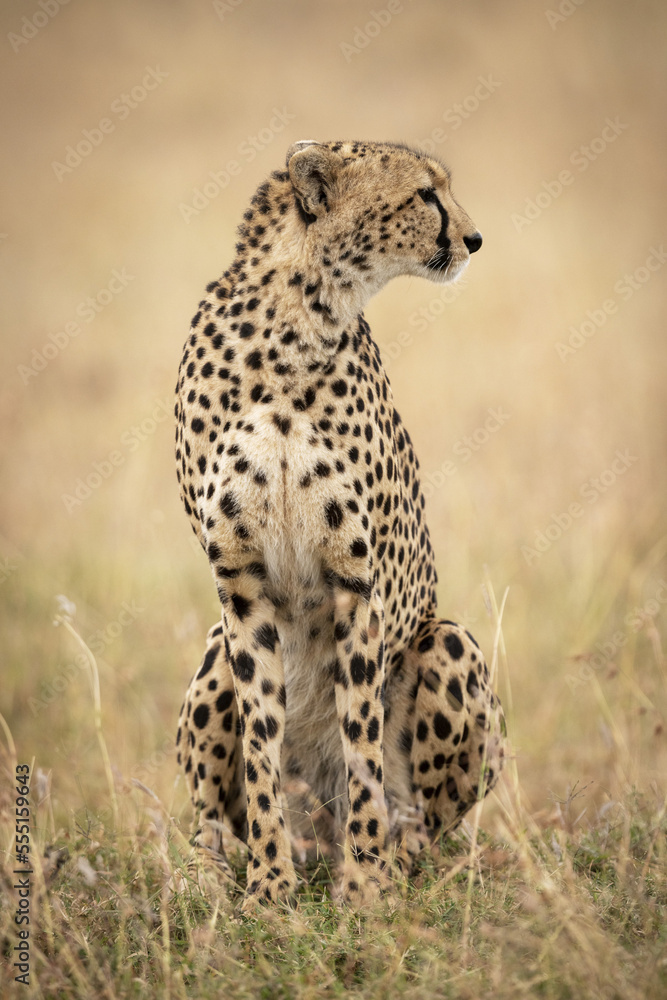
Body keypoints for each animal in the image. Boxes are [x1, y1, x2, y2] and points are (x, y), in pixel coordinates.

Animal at [174, 139, 506, 909]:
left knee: (426, 817)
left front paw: (364, 886)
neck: (294, 327)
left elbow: (360, 738)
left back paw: (406, 859)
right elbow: (262, 746)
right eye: (425, 194)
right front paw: (269, 889)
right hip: (212, 648)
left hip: (449, 641)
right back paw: (209, 874)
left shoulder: (357, 582)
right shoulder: (240, 586)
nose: (475, 238)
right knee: (212, 813)